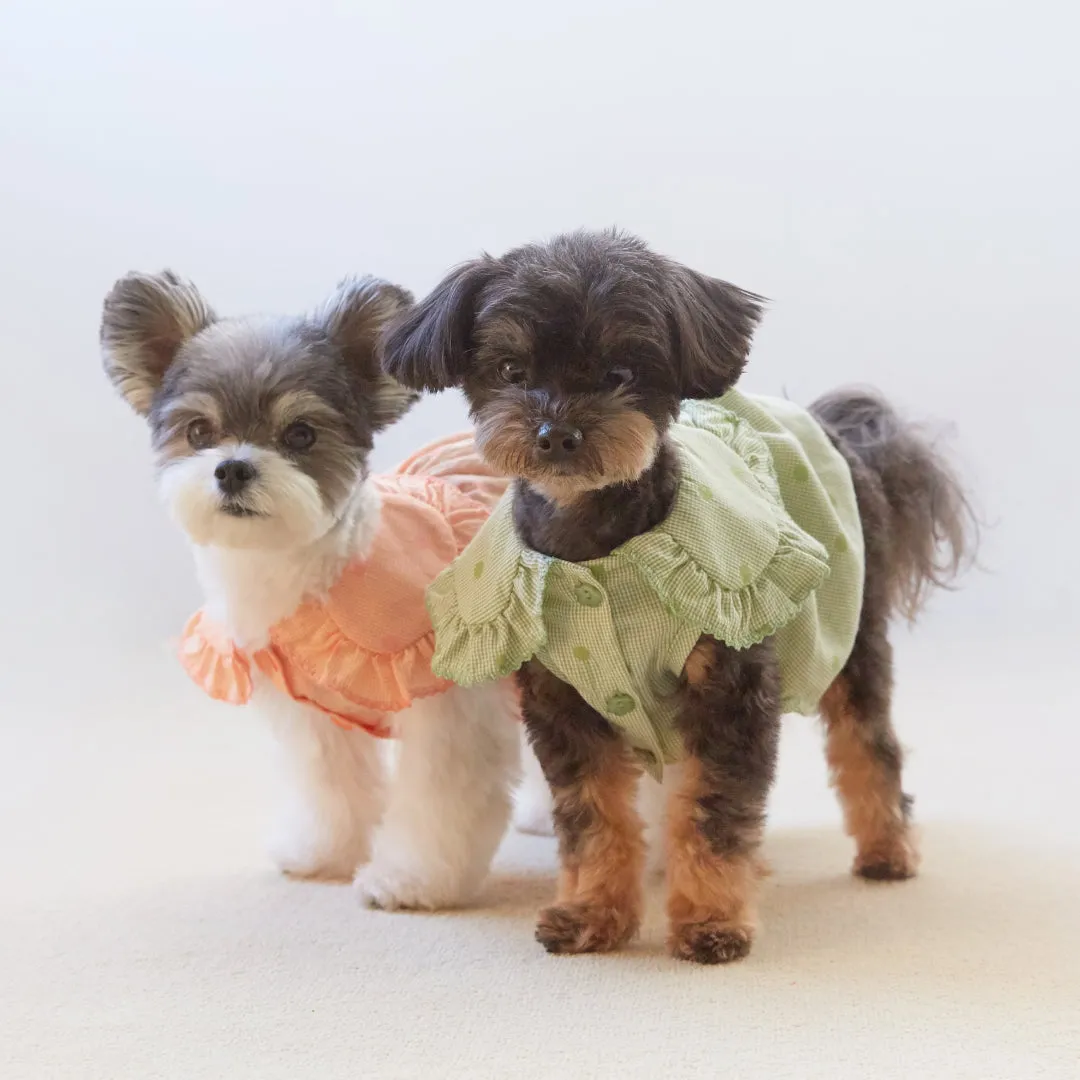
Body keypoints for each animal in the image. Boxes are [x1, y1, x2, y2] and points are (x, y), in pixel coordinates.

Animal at [100, 272, 518, 911]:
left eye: (300, 433)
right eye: (198, 432)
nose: (233, 468)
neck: (320, 573)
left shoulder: (451, 710)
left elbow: (441, 803)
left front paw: (414, 880)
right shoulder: (316, 713)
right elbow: (331, 785)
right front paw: (324, 853)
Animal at [384, 227, 976, 963]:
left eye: (620, 373)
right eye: (512, 370)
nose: (556, 433)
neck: (597, 546)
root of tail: (836, 429)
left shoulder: (729, 694)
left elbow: (712, 812)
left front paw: (711, 921)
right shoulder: (565, 709)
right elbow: (594, 819)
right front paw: (591, 913)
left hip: (853, 639)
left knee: (870, 745)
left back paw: (888, 851)